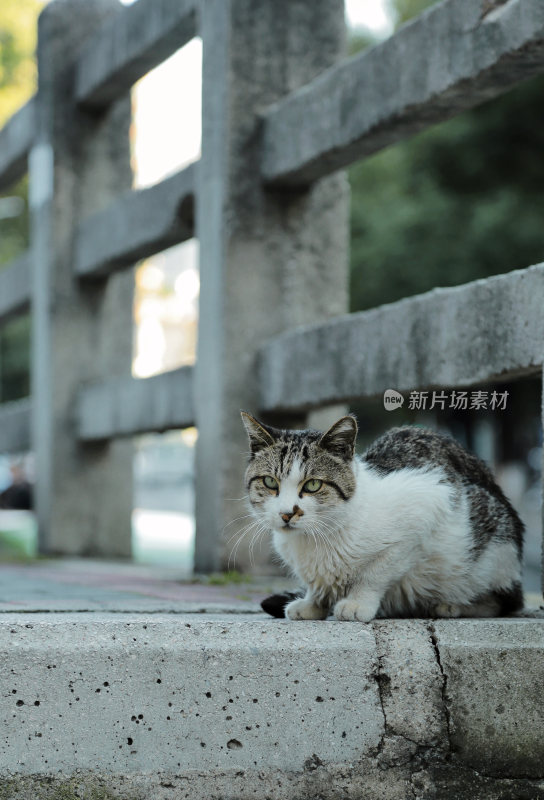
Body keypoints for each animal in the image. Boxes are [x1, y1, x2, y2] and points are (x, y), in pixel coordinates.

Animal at [241, 410, 524, 620]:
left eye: (312, 485)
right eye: (269, 482)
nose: (286, 513)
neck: (315, 538)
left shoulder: (427, 506)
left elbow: (376, 572)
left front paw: (357, 603)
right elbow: (316, 585)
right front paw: (313, 603)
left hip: (493, 552)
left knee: (506, 602)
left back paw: (454, 606)